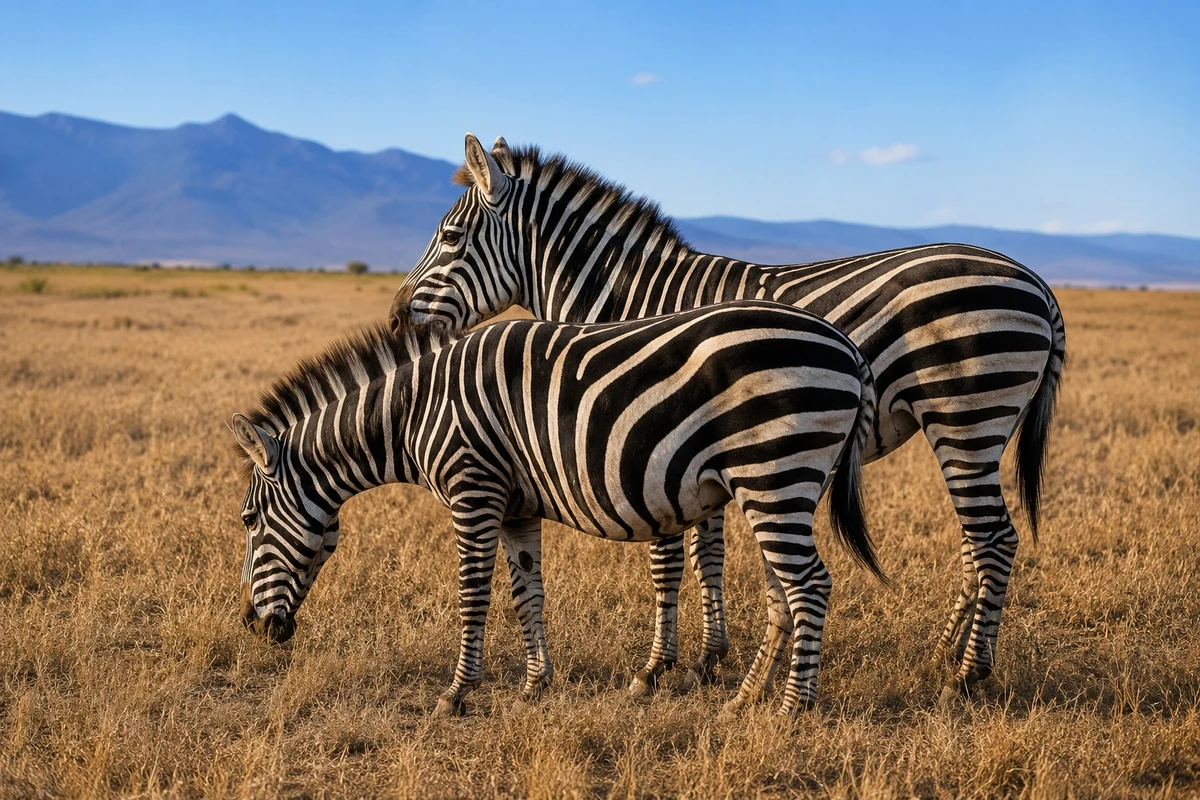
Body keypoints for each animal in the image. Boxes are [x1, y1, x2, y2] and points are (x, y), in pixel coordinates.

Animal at [234, 300, 882, 716]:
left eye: (247, 522)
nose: (252, 626)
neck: (413, 410)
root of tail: (844, 343)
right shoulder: (515, 506)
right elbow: (528, 593)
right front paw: (535, 683)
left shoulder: (473, 489)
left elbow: (474, 595)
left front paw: (456, 693)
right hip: (777, 484)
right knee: (784, 592)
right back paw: (744, 699)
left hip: (774, 473)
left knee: (811, 585)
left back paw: (793, 708)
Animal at [388, 133, 1068, 704]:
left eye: (451, 238)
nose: (396, 318)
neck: (633, 301)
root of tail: (1038, 282)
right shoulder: (695, 451)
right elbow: (705, 552)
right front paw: (712, 658)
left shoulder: (653, 435)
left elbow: (668, 559)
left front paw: (657, 667)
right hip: (965, 429)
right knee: (976, 541)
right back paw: (943, 652)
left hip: (966, 418)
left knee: (994, 539)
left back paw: (967, 674)